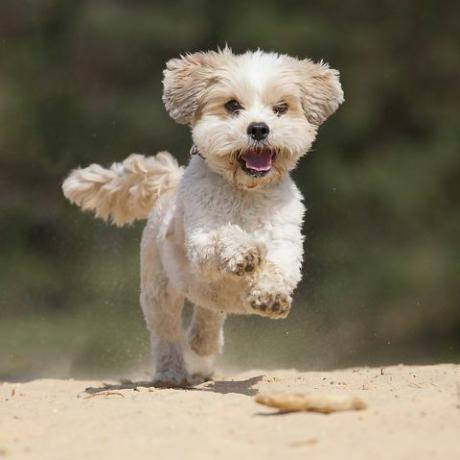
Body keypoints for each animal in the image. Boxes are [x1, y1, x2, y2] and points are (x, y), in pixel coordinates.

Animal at [63, 47, 344, 384]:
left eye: (281, 108)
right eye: (232, 105)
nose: (259, 128)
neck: (244, 192)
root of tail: (170, 182)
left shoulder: (286, 241)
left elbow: (279, 267)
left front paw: (271, 295)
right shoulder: (201, 240)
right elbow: (225, 237)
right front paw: (246, 252)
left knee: (209, 315)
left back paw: (204, 343)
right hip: (159, 289)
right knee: (166, 332)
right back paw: (172, 373)